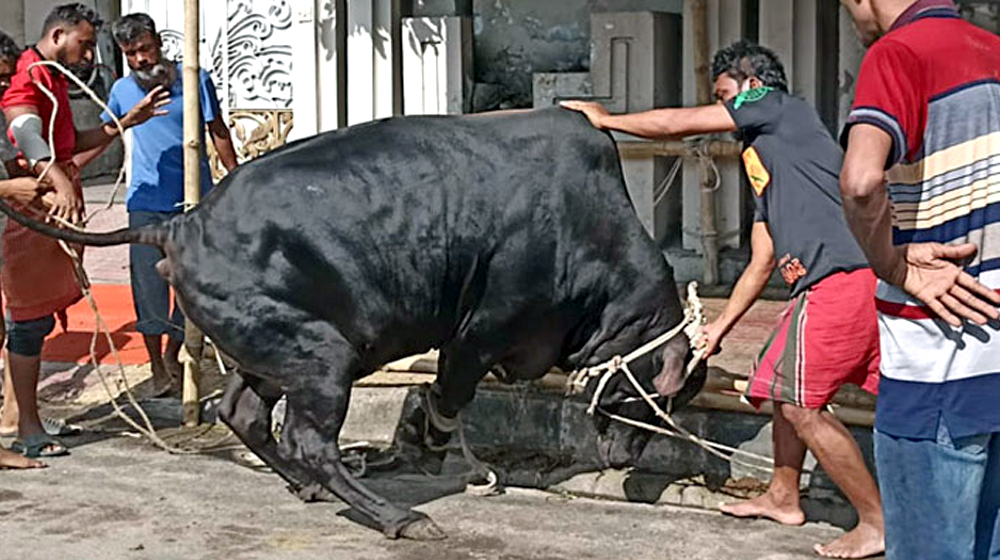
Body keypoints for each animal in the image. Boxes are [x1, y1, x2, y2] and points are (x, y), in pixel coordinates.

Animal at [0, 105, 708, 540]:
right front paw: (423, 442)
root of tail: (182, 224)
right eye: (658, 397)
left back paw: (310, 489)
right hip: (324, 356)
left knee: (244, 413)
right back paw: (398, 517)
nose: (623, 458)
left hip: (277, 351)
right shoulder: (477, 333)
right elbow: (450, 391)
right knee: (305, 440)